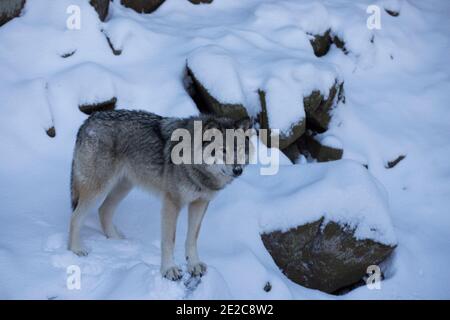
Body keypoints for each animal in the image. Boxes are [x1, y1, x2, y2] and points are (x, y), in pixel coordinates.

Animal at [68, 109, 251, 280]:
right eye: (223, 150)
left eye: (241, 149)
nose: (238, 170)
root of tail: (88, 121)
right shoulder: (172, 203)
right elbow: (170, 240)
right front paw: (169, 270)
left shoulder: (200, 203)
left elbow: (192, 238)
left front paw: (194, 265)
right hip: (98, 190)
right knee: (76, 216)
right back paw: (76, 249)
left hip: (123, 187)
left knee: (103, 210)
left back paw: (117, 241)